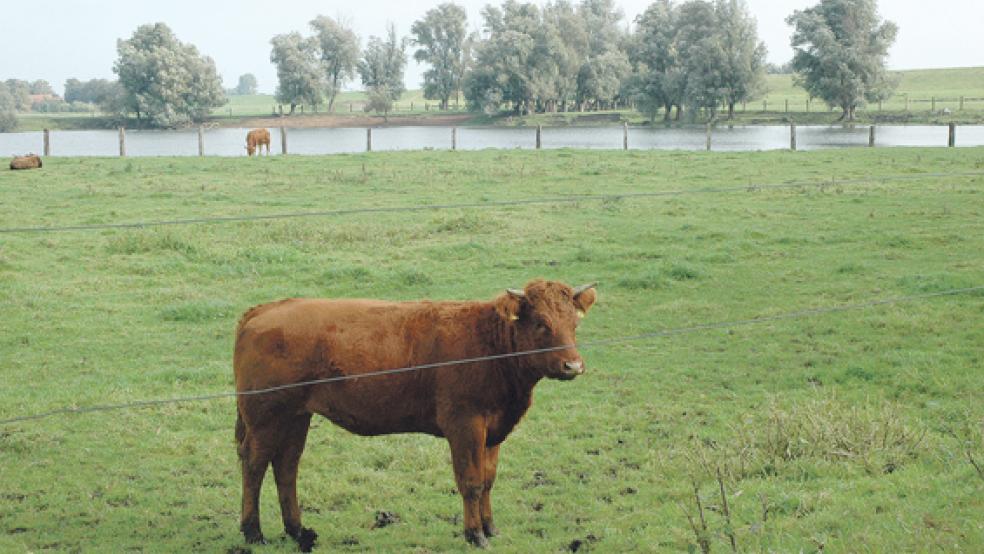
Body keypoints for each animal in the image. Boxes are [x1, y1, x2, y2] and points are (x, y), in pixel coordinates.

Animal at [234, 280, 596, 548]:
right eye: (541, 323)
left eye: (574, 322)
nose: (573, 365)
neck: (489, 345)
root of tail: (265, 310)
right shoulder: (464, 425)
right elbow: (471, 482)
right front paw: (474, 534)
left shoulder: (492, 430)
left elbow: (488, 480)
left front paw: (491, 528)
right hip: (266, 419)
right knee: (254, 464)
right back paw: (253, 532)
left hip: (295, 418)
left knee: (286, 466)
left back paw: (297, 529)